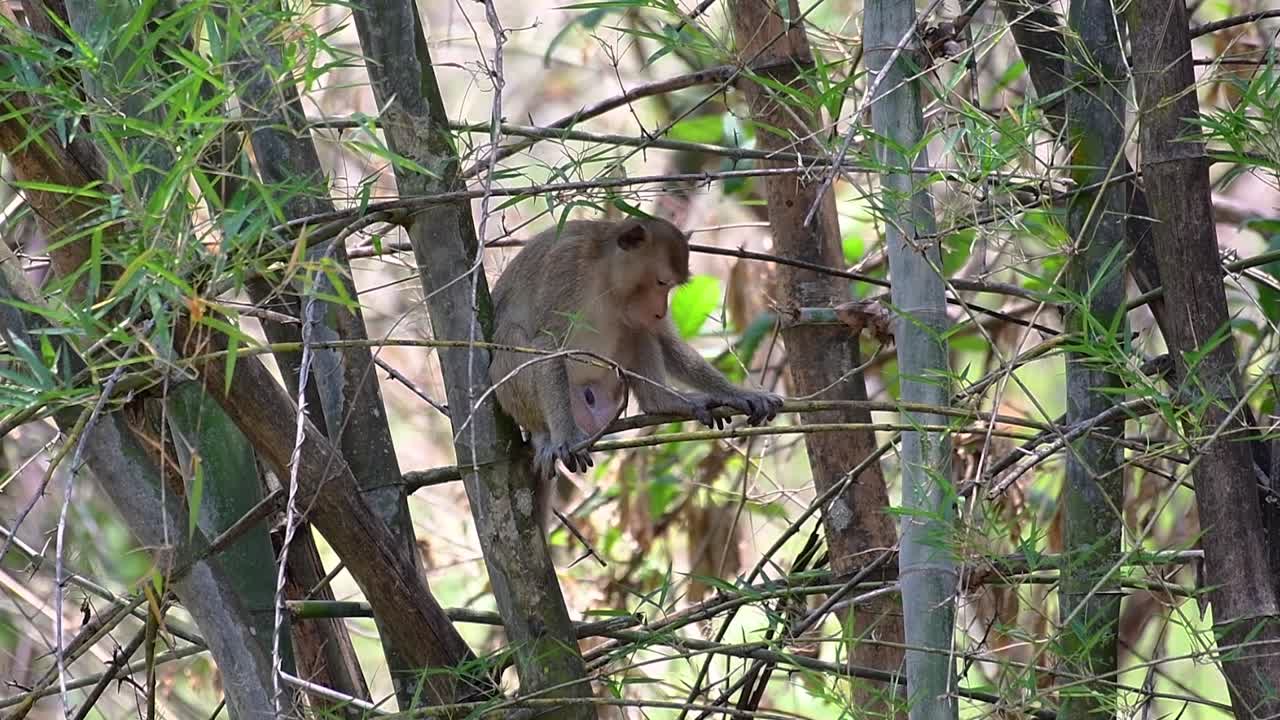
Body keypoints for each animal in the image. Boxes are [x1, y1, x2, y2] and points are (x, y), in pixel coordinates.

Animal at [487, 217, 783, 517]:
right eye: (661, 282)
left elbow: (662, 338)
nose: (660, 311)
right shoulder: (565, 267)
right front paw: (566, 438)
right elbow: (547, 345)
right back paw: (544, 435)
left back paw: (662, 401)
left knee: (637, 331)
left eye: (670, 287)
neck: (605, 276)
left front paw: (740, 394)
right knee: (511, 338)